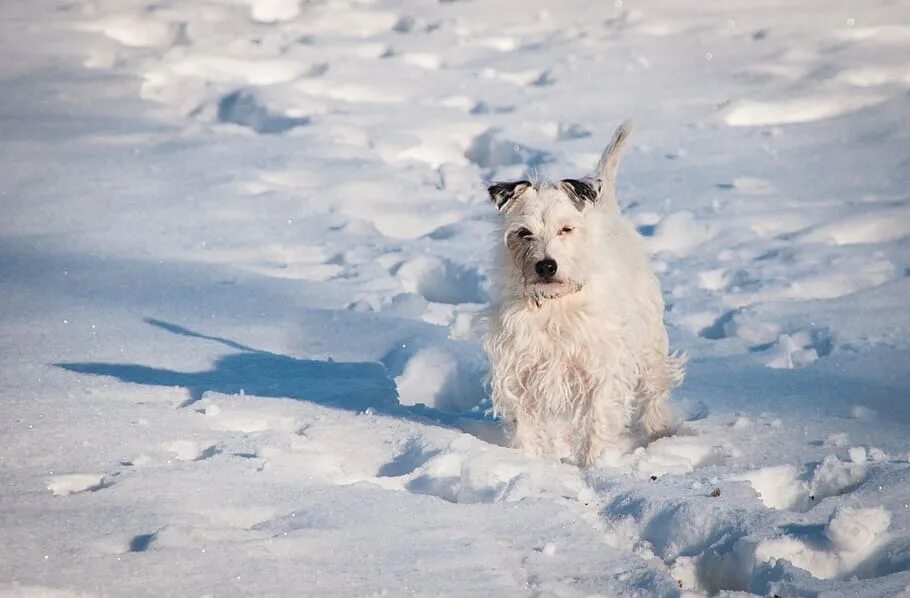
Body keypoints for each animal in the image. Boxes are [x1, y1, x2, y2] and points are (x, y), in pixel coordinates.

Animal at [484, 122, 684, 468]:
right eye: (523, 232)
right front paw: (533, 464)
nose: (546, 265)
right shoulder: (519, 370)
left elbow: (597, 419)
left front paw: (595, 465)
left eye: (566, 229)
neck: (556, 304)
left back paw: (659, 431)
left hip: (649, 344)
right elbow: (527, 424)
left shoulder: (602, 366)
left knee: (653, 391)